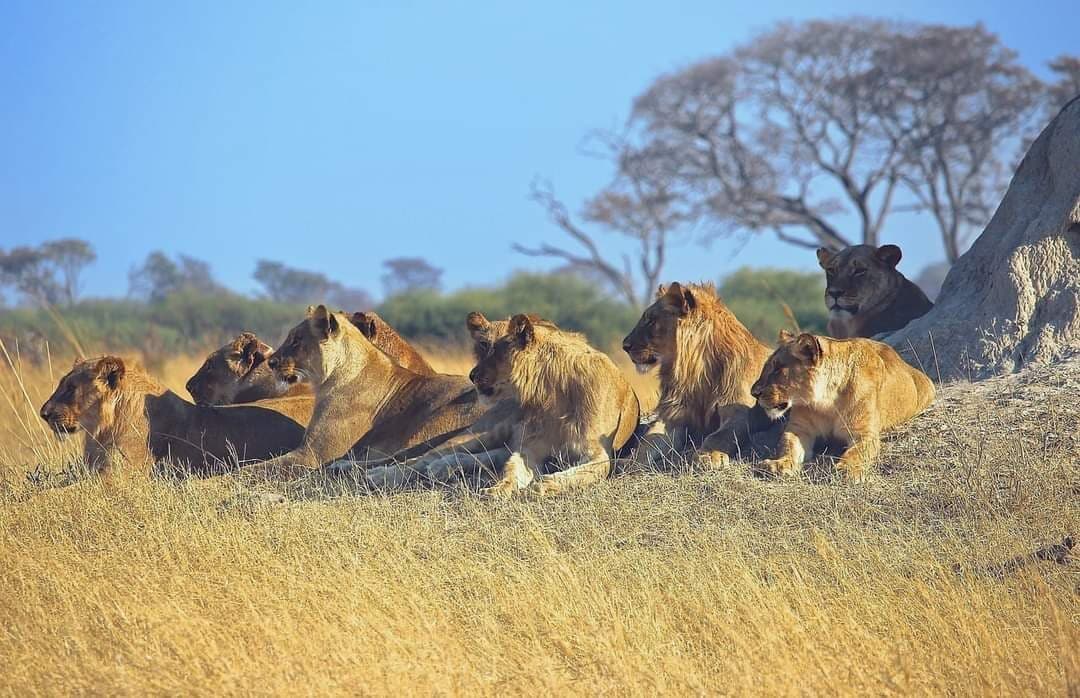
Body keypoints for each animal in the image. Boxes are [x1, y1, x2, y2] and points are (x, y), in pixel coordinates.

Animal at [240, 305, 489, 481]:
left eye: (296, 340)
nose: (271, 362)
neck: (329, 380)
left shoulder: (312, 454)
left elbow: (255, 468)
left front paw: (230, 479)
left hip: (432, 424)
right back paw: (343, 467)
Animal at [469, 314, 640, 497]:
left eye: (496, 350)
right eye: (483, 345)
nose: (472, 375)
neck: (552, 393)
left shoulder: (598, 453)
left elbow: (575, 474)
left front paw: (540, 486)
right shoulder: (531, 447)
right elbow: (512, 469)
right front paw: (497, 489)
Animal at [622, 282, 778, 466]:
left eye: (651, 320)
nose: (625, 345)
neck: (696, 374)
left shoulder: (739, 412)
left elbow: (719, 436)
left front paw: (709, 456)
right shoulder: (672, 415)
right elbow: (648, 441)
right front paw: (629, 462)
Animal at [751, 331, 935, 481]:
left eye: (778, 369)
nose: (754, 393)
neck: (826, 401)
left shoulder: (865, 433)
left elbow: (857, 452)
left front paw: (847, 469)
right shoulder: (799, 428)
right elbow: (788, 445)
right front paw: (778, 464)